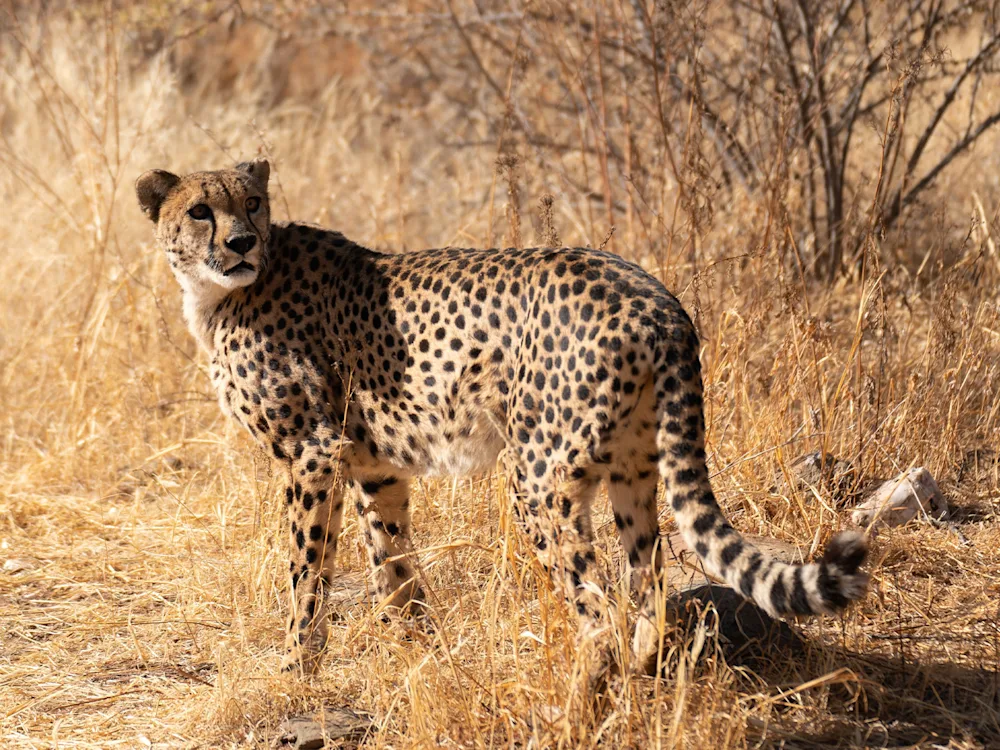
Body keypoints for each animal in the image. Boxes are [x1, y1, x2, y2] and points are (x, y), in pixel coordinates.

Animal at [136, 159, 868, 678]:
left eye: (252, 204)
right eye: (200, 210)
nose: (240, 242)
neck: (222, 291)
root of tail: (655, 297)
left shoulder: (312, 453)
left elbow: (307, 567)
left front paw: (297, 664)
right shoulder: (374, 467)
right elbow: (393, 565)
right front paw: (420, 654)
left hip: (537, 478)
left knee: (598, 608)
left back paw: (578, 701)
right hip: (633, 468)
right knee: (647, 586)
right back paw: (642, 680)